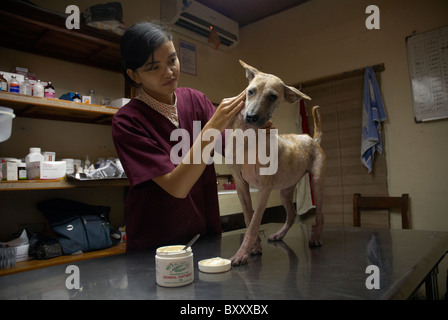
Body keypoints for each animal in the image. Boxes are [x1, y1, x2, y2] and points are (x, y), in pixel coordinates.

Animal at [228, 61, 326, 266]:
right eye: (250, 91)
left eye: (272, 96)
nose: (250, 117)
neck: (250, 139)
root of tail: (312, 139)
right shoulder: (241, 186)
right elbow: (248, 219)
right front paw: (254, 248)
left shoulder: (264, 188)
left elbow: (254, 223)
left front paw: (242, 253)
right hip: (285, 190)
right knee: (291, 215)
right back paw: (279, 235)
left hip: (317, 182)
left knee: (320, 215)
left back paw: (315, 238)